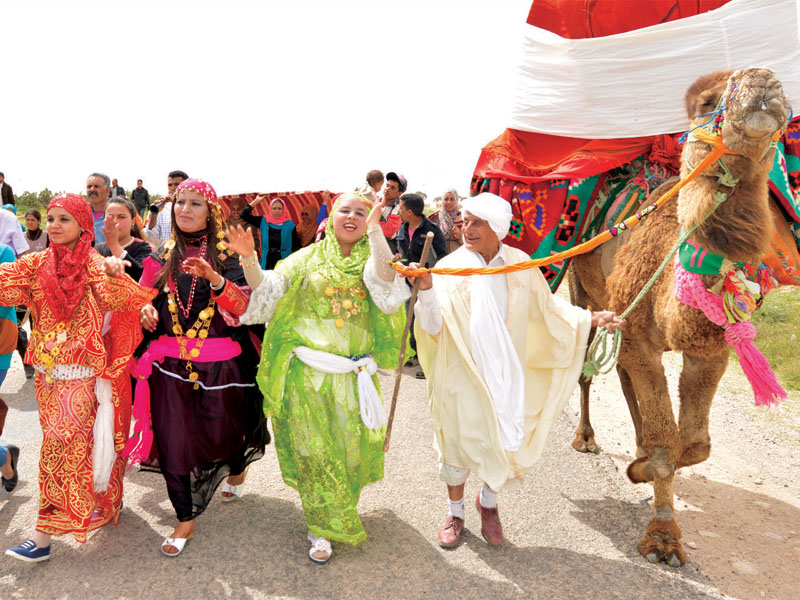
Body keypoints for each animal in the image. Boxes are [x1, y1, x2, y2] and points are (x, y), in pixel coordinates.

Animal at [568, 68, 788, 564]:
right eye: (707, 102)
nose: (765, 80)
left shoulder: (709, 349)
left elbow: (695, 445)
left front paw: (641, 468)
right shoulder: (636, 334)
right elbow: (667, 443)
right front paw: (663, 537)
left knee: (626, 382)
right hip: (582, 292)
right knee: (588, 372)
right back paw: (586, 438)